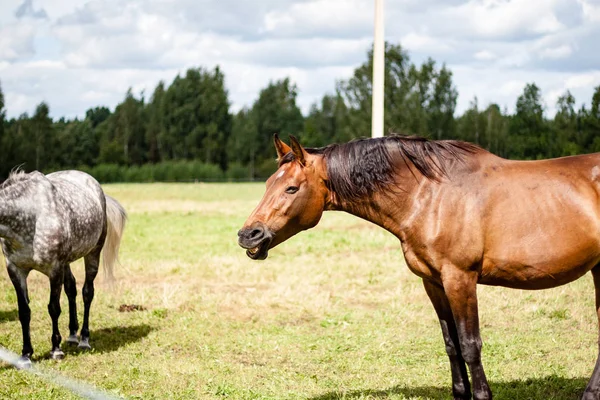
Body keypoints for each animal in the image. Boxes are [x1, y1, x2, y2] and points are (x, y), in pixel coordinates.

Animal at [0, 170, 126, 368]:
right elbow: (24, 311)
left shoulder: (54, 269)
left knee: (87, 293)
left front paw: (56, 350)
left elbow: (53, 308)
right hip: (67, 262)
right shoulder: (15, 270)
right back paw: (73, 335)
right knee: (71, 289)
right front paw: (26, 354)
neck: (29, 215)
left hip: (93, 253)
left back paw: (84, 339)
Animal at [238, 133, 600, 398]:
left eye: (292, 187)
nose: (248, 235)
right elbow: (452, 345)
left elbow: (470, 345)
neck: (430, 196)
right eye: (268, 184)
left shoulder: (460, 279)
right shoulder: (434, 282)